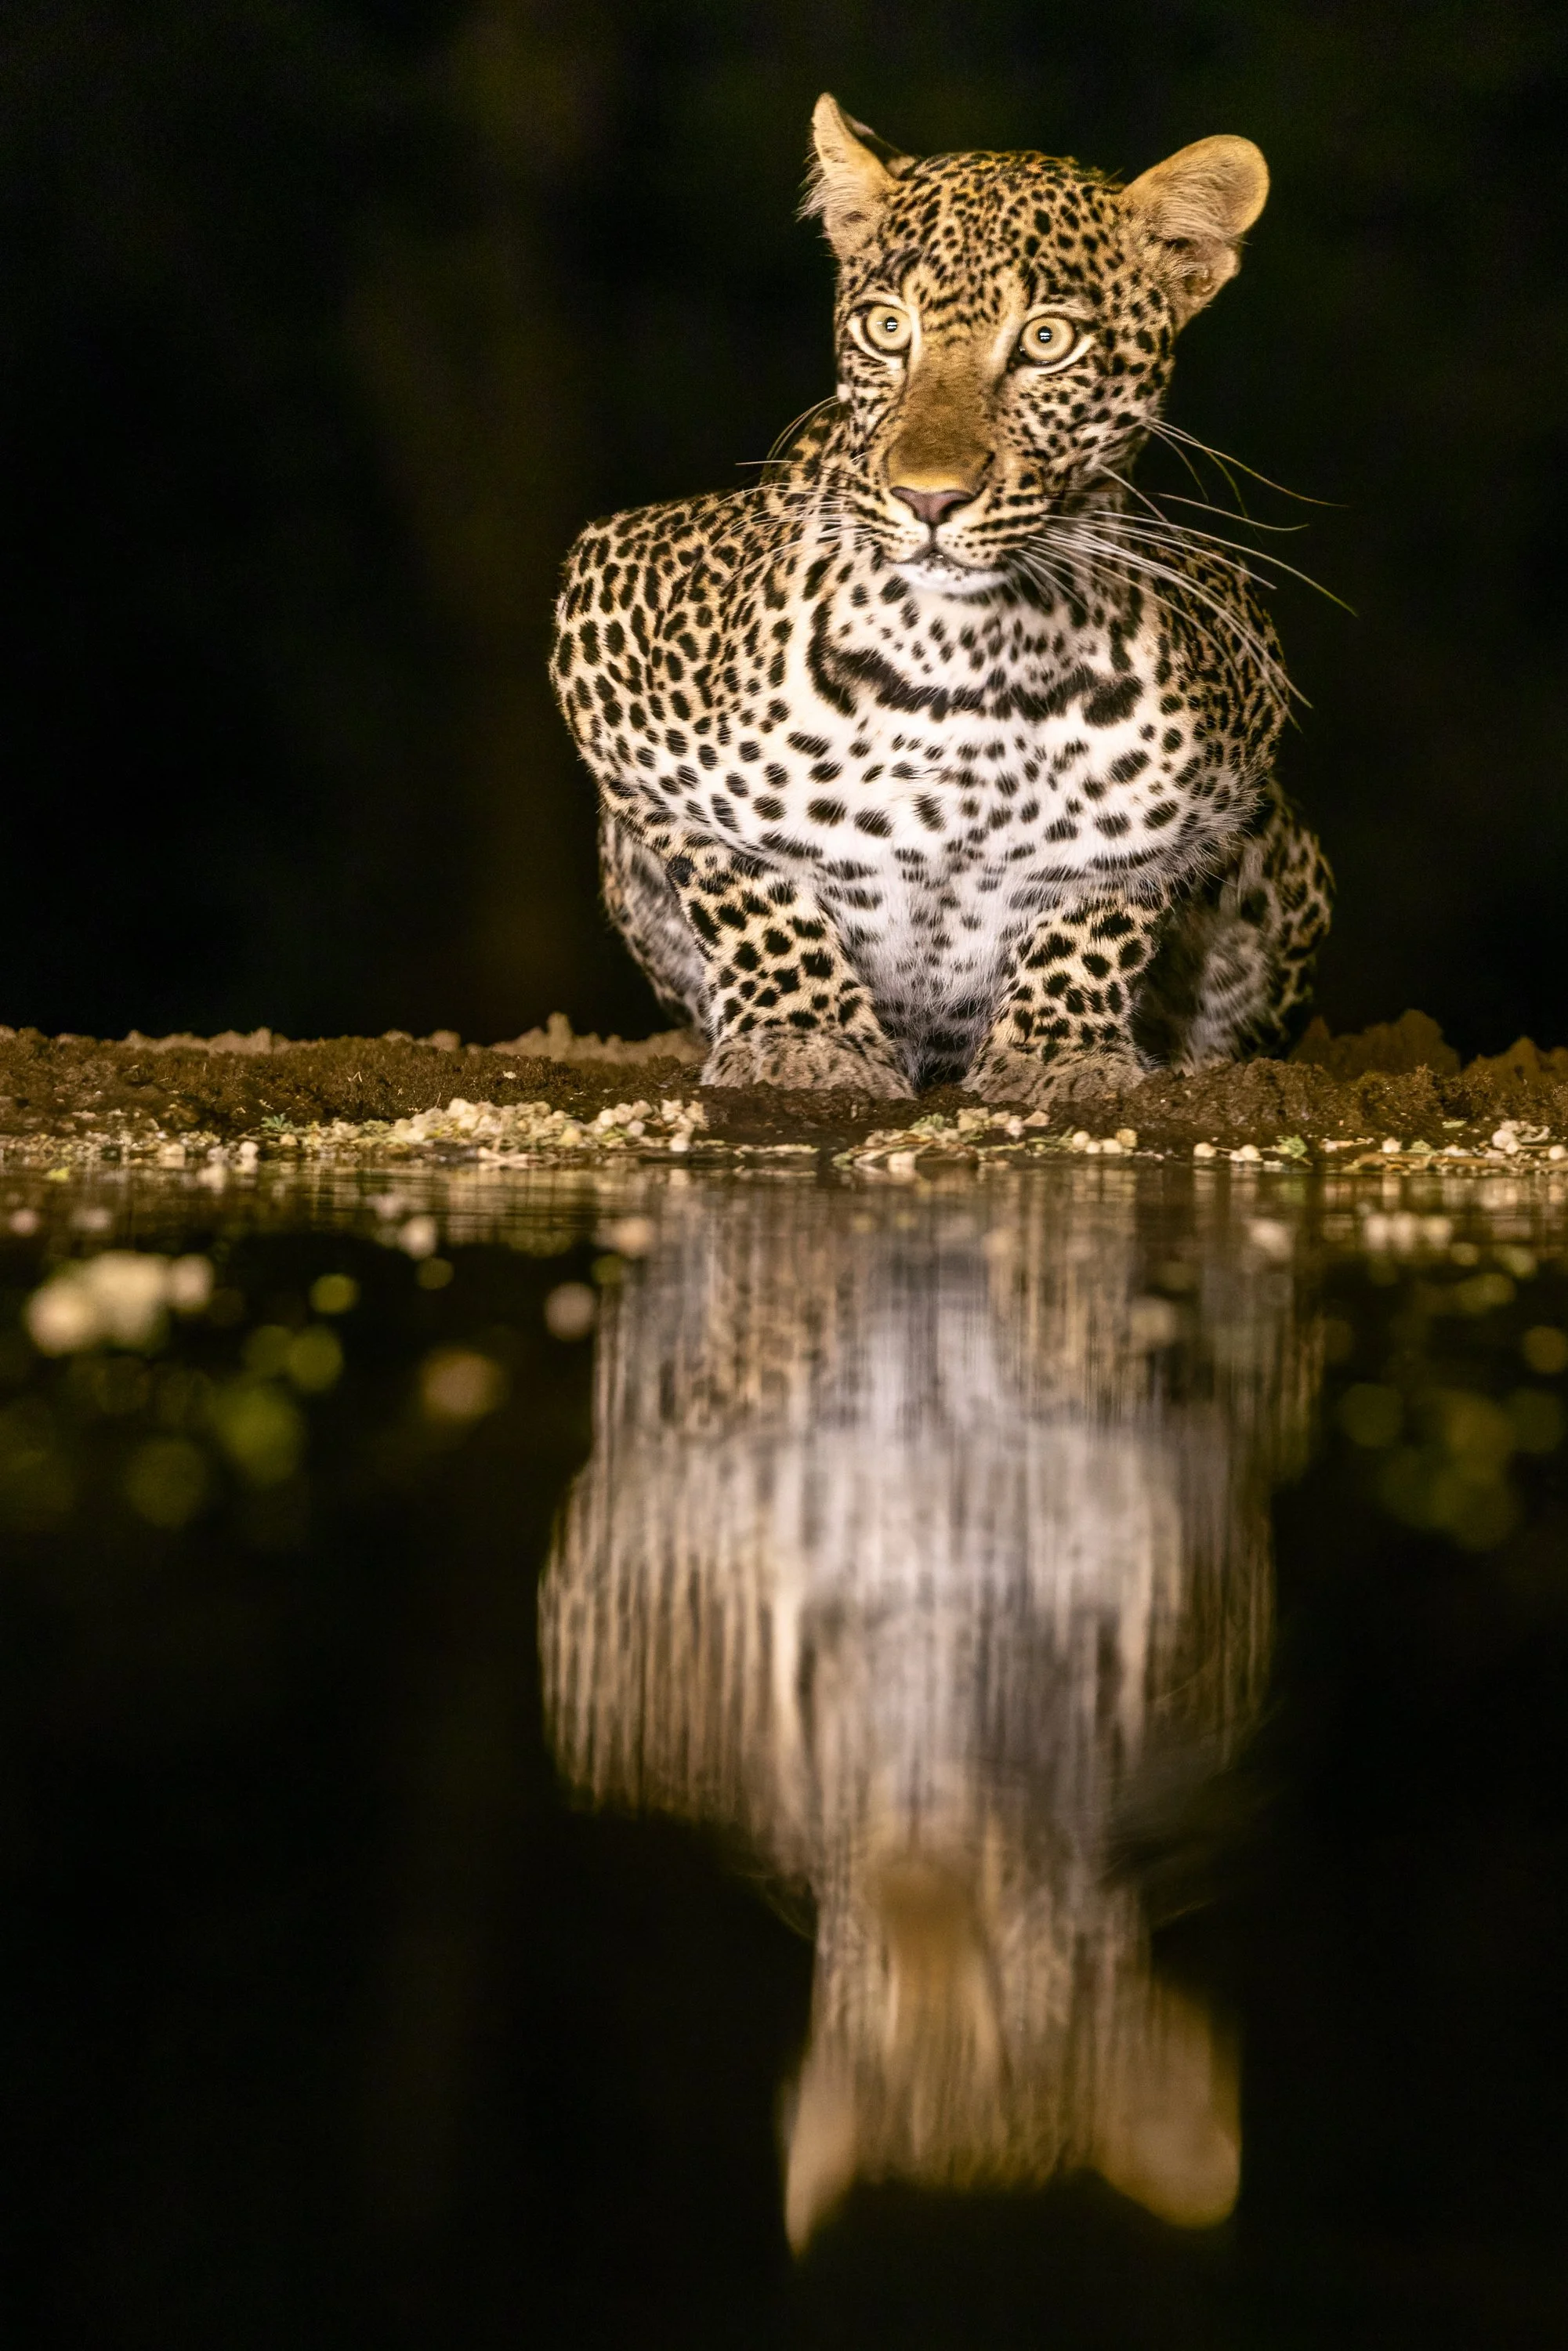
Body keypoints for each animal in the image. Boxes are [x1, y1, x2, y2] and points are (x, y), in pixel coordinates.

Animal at [552, 95, 1333, 1107]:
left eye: (1047, 341)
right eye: (889, 329)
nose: (928, 498)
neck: (965, 648)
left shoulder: (1233, 719)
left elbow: (1105, 900)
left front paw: (1057, 1051)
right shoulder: (602, 623)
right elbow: (748, 886)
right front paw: (806, 1038)